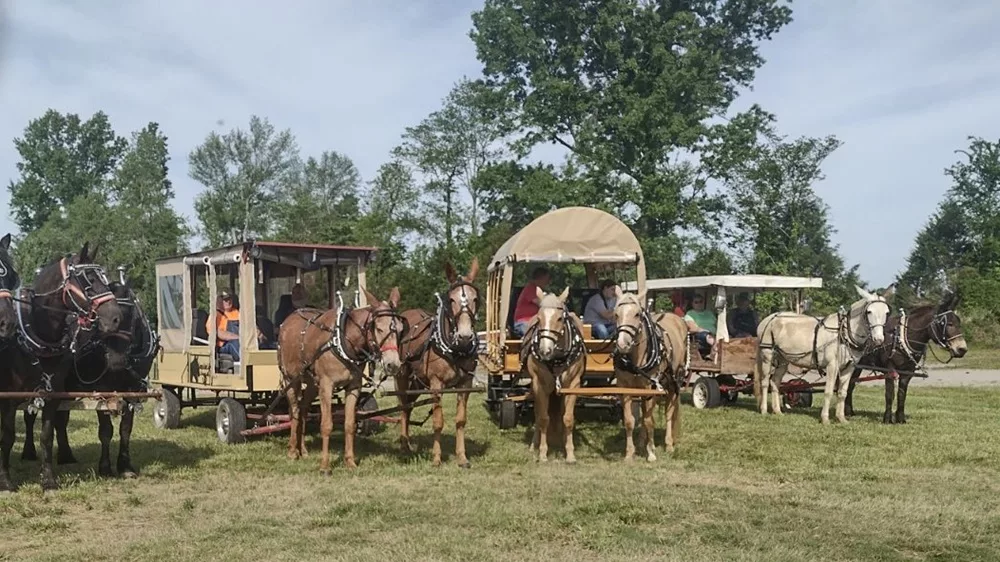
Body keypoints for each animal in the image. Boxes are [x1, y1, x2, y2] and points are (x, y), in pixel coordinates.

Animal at [0, 243, 123, 488]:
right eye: (88, 280)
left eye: (105, 278)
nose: (115, 318)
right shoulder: (8, 398)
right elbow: (7, 437)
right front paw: (6, 481)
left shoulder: (52, 394)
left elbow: (47, 435)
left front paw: (48, 479)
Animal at [24, 272, 158, 476]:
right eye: (100, 321)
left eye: (130, 314)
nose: (116, 360)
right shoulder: (102, 389)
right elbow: (106, 430)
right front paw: (105, 466)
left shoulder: (133, 389)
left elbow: (126, 429)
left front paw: (125, 465)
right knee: (30, 417)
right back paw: (29, 451)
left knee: (61, 419)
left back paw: (66, 455)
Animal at [844, 290, 968, 422]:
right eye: (948, 324)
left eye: (959, 322)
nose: (962, 349)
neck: (901, 338)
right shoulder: (890, 370)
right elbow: (890, 394)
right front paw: (887, 419)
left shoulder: (908, 372)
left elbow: (902, 394)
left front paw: (900, 418)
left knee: (850, 384)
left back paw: (849, 412)